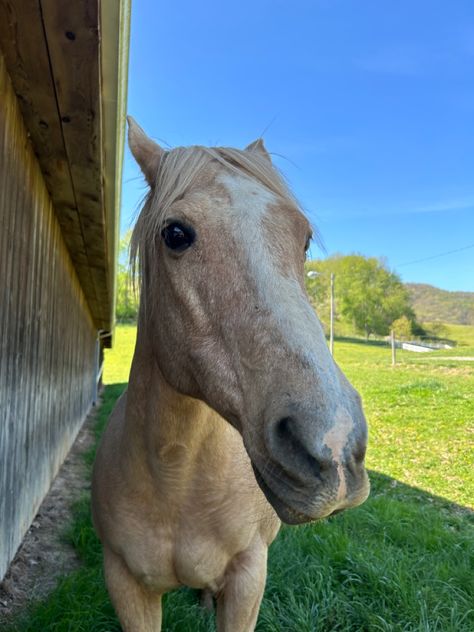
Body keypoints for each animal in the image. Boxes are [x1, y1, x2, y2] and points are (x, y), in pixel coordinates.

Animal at [91, 116, 370, 628]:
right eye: (175, 234)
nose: (336, 448)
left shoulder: (248, 579)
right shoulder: (125, 585)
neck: (176, 478)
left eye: (303, 238)